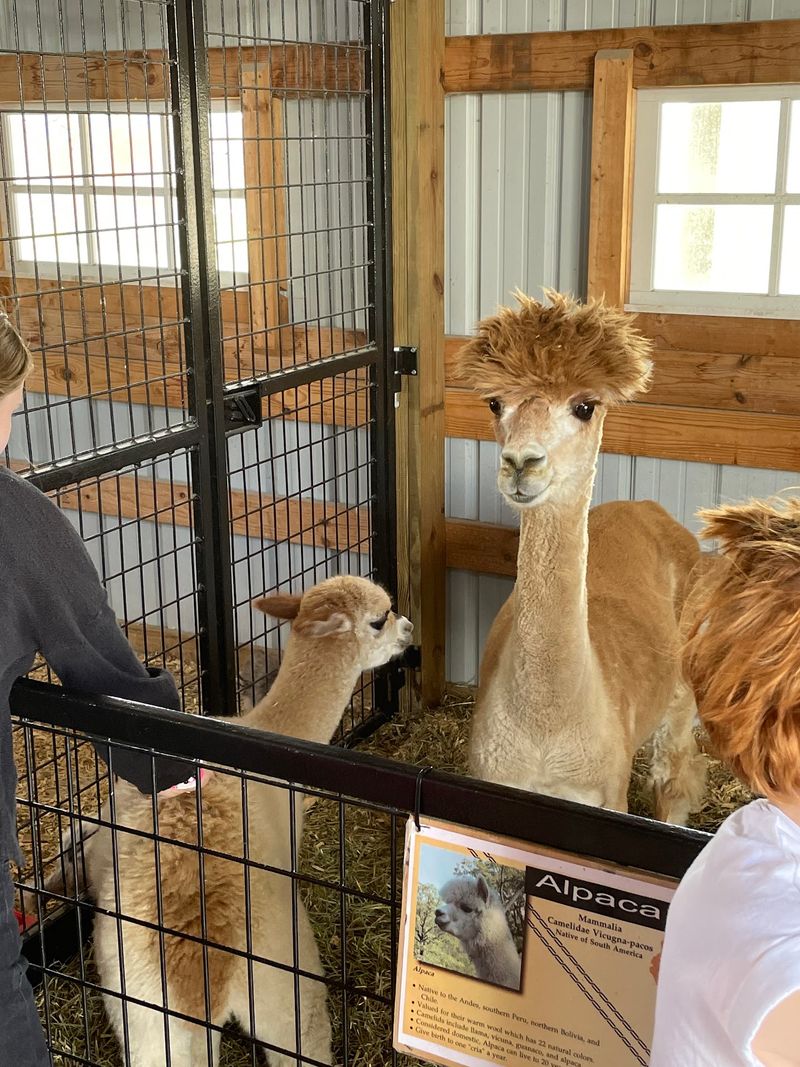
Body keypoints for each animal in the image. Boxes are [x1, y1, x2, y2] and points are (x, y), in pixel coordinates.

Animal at [455, 290, 707, 823]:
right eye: (495, 402)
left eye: (584, 406)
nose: (521, 463)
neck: (547, 734)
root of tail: (646, 506)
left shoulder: (606, 797)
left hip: (680, 686)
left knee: (676, 774)